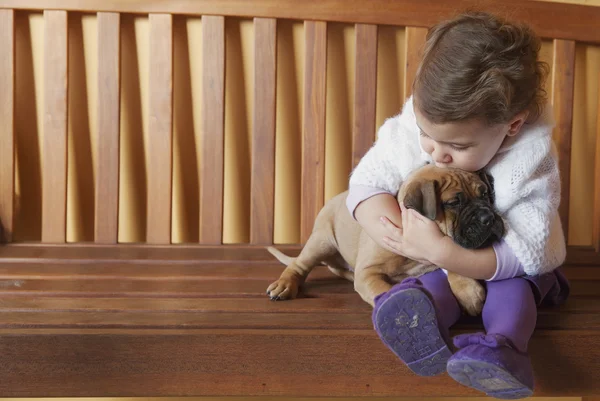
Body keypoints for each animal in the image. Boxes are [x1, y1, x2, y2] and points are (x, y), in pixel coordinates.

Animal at [264, 164, 504, 314]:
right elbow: (384, 291)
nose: (488, 217)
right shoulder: (368, 272)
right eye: (454, 203)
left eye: (485, 194)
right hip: (321, 241)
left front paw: (467, 290)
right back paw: (284, 285)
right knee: (298, 265)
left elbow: (452, 261)